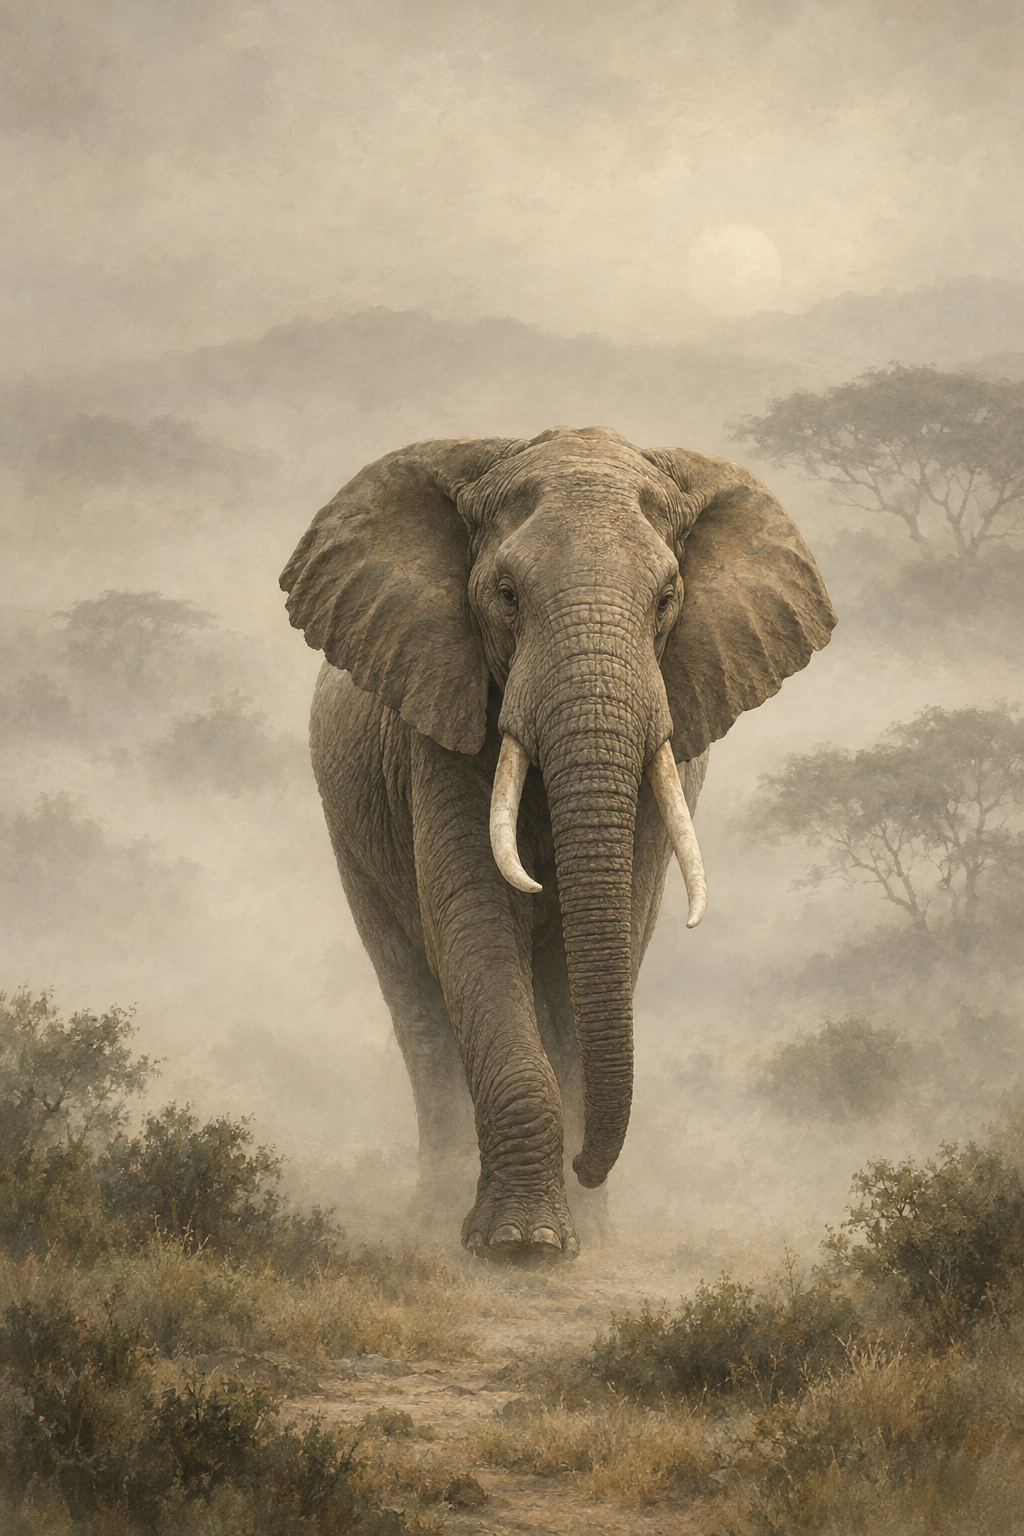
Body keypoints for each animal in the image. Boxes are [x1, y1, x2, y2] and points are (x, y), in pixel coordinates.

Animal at [280, 425, 835, 1258]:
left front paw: (580, 1237)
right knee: (416, 1003)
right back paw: (433, 1214)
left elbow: (605, 944)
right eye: (507, 597)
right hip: (351, 836)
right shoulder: (438, 724)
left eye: (667, 599)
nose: (587, 1166)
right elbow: (476, 925)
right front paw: (522, 1245)